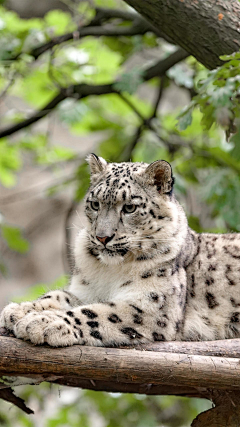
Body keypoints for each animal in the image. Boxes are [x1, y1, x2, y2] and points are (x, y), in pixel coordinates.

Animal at [0, 154, 240, 348]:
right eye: (95, 204)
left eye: (130, 207)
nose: (102, 237)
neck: (110, 271)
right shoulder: (86, 290)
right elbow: (61, 296)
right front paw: (20, 310)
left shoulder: (151, 305)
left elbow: (95, 312)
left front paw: (42, 322)